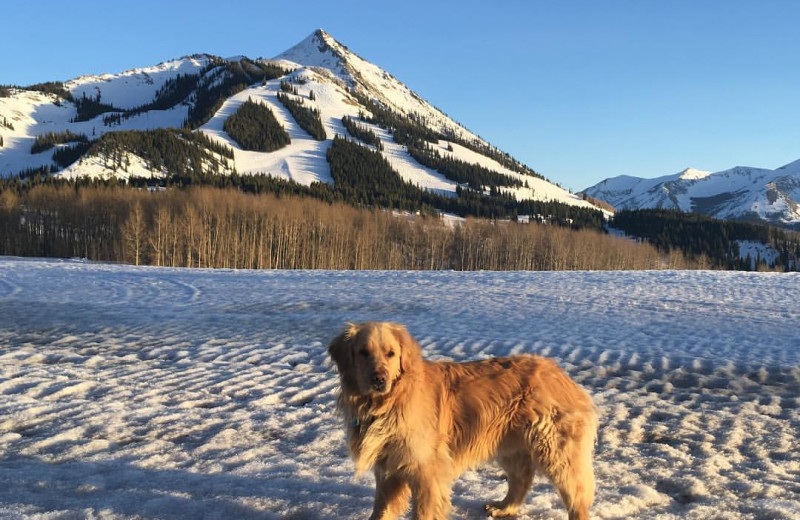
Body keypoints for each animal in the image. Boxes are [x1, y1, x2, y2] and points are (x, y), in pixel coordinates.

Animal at [328, 320, 596, 520]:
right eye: (363, 352)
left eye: (391, 354)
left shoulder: (425, 470)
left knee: (576, 498)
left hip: (555, 452)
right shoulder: (387, 469)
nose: (379, 379)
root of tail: (558, 372)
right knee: (521, 480)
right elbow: (381, 509)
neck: (387, 402)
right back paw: (504, 507)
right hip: (510, 446)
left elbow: (423, 511)